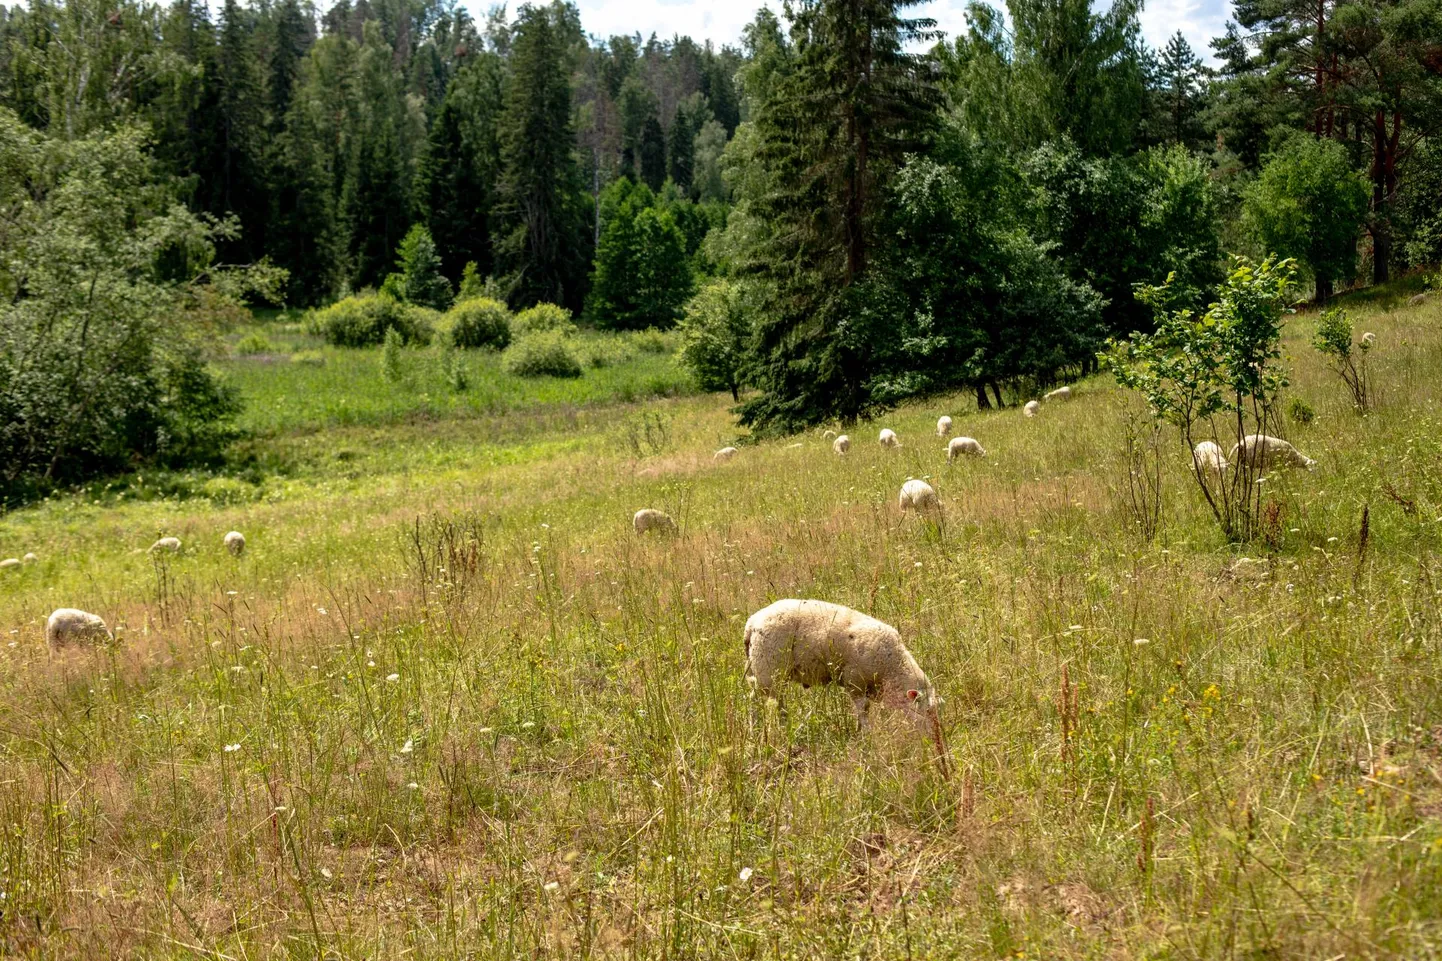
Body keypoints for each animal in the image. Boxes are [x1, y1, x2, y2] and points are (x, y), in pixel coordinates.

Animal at [744, 600, 945, 773]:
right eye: (926, 711)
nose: (937, 742)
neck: (893, 667)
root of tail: (752, 622)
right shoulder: (855, 681)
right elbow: (863, 711)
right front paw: (866, 736)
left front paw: (859, 731)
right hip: (768, 670)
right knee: (755, 699)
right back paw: (756, 729)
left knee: (776, 702)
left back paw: (784, 726)